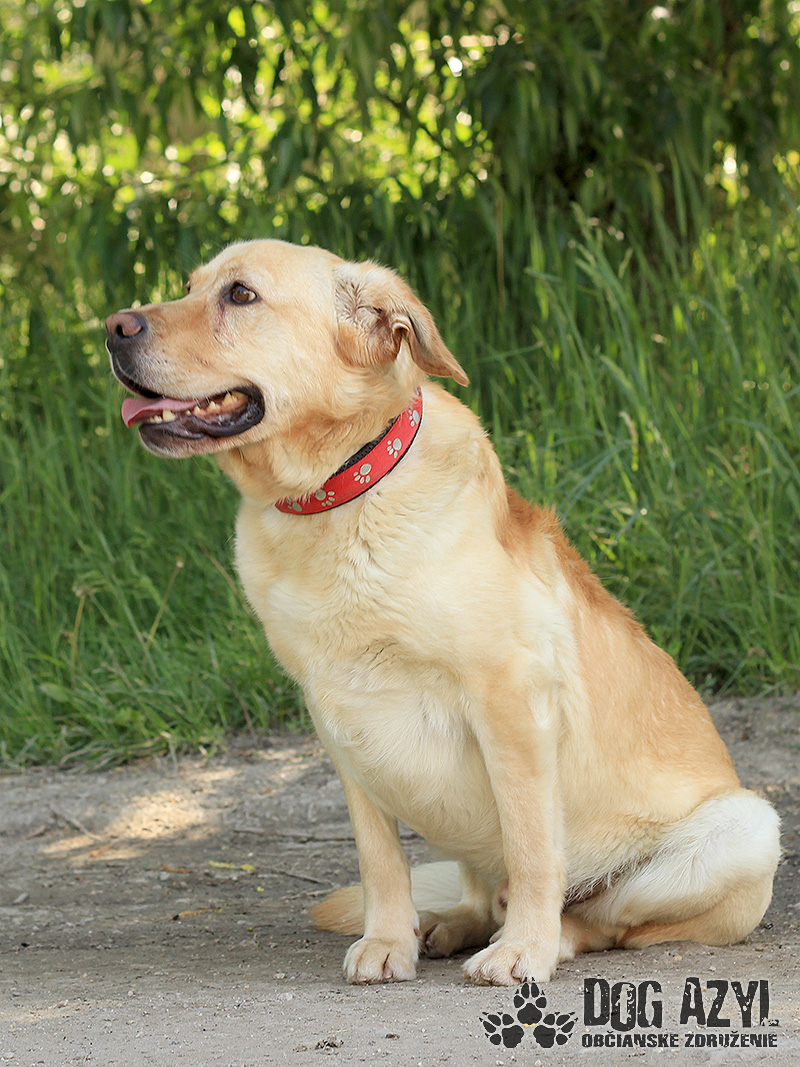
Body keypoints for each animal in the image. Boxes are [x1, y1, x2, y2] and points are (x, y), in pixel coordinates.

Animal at [107, 238, 780, 986]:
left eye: (241, 295)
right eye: (190, 286)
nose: (113, 326)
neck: (337, 500)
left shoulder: (510, 702)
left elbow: (533, 848)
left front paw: (525, 950)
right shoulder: (339, 722)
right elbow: (381, 861)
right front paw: (388, 940)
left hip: (745, 830)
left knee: (603, 919)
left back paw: (543, 937)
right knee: (483, 894)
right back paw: (448, 924)